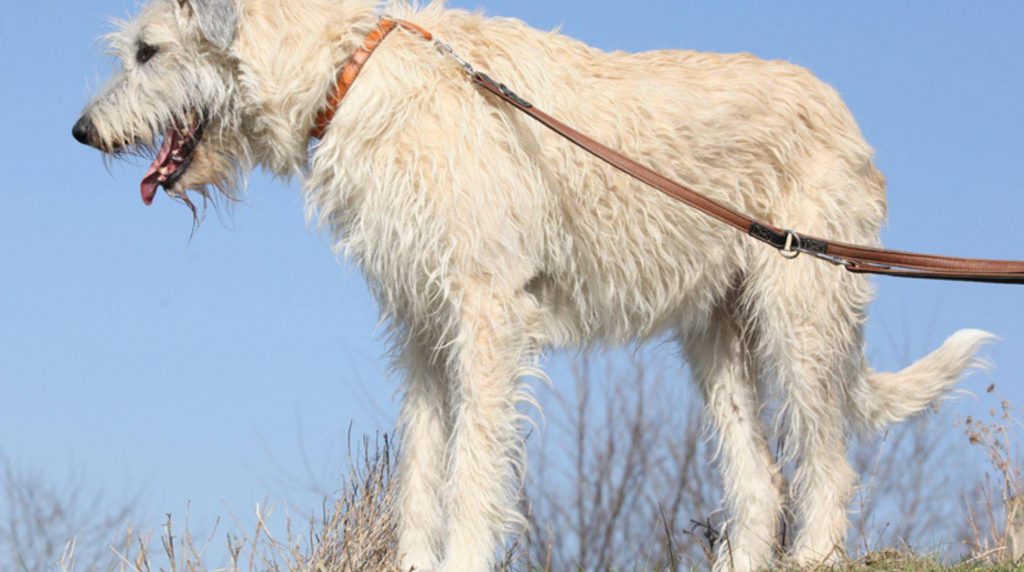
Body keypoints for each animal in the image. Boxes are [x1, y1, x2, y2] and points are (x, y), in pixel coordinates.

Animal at [74, 2, 991, 568]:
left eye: (149, 51)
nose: (81, 131)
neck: (353, 67)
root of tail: (848, 117)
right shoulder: (421, 328)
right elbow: (420, 469)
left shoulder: (485, 313)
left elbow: (473, 469)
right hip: (715, 334)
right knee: (760, 480)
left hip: (798, 311)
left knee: (826, 468)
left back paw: (815, 556)